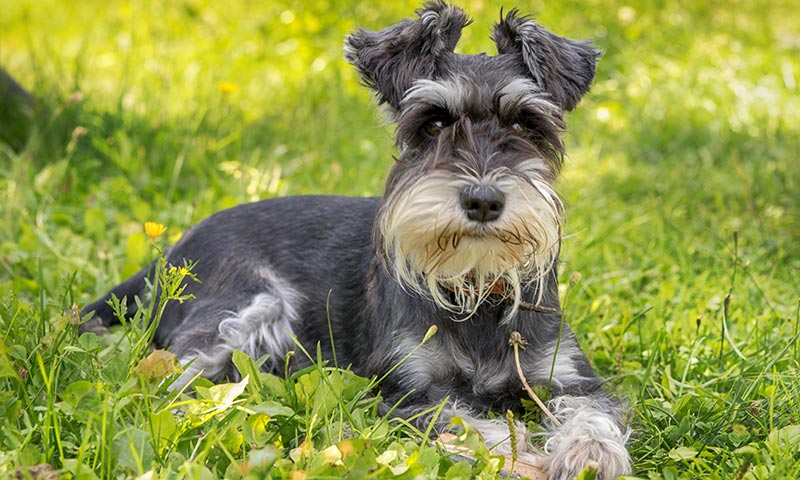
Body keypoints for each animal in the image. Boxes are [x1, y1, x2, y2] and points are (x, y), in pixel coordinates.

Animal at [81, 1, 632, 478]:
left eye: (524, 121)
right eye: (433, 122)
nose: (482, 200)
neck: (476, 287)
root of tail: (172, 251)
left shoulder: (569, 375)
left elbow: (592, 411)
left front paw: (589, 454)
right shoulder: (407, 391)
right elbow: (472, 424)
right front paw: (523, 459)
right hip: (243, 310)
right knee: (168, 385)